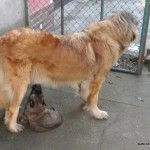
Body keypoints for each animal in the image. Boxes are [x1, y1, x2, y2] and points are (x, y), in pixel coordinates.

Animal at [0, 10, 138, 132]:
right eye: (137, 23)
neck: (109, 34)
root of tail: (4, 39)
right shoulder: (96, 81)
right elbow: (94, 99)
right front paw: (97, 113)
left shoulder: (85, 81)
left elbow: (84, 94)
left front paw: (85, 103)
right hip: (20, 84)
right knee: (12, 108)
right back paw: (13, 127)